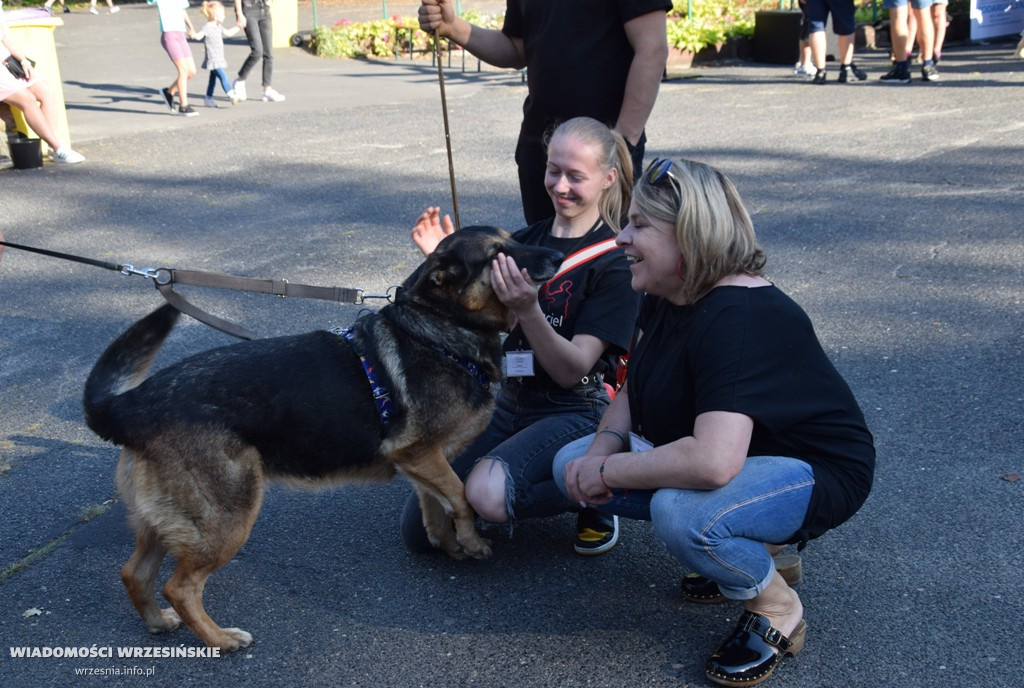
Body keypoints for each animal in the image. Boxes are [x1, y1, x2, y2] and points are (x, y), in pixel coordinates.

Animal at [83, 225, 565, 651]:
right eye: (498, 254)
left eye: (516, 239)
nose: (559, 256)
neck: (439, 327)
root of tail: (133, 403)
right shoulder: (422, 455)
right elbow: (462, 496)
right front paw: (472, 541)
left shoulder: (423, 460)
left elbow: (436, 509)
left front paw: (451, 545)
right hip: (228, 517)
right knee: (179, 587)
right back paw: (220, 640)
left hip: (168, 522)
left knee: (133, 573)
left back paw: (158, 623)